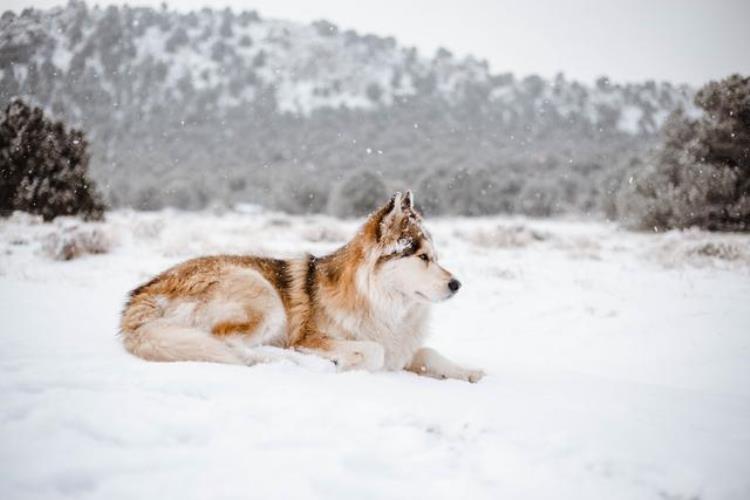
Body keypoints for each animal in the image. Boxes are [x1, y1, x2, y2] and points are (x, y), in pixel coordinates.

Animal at [122, 191, 488, 382]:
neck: (384, 305)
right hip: (262, 293)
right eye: (423, 257)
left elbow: (429, 353)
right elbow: (373, 351)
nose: (457, 284)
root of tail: (141, 295)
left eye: (436, 257)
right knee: (229, 344)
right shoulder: (315, 337)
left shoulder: (405, 349)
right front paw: (342, 363)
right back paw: (294, 362)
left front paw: (470, 373)